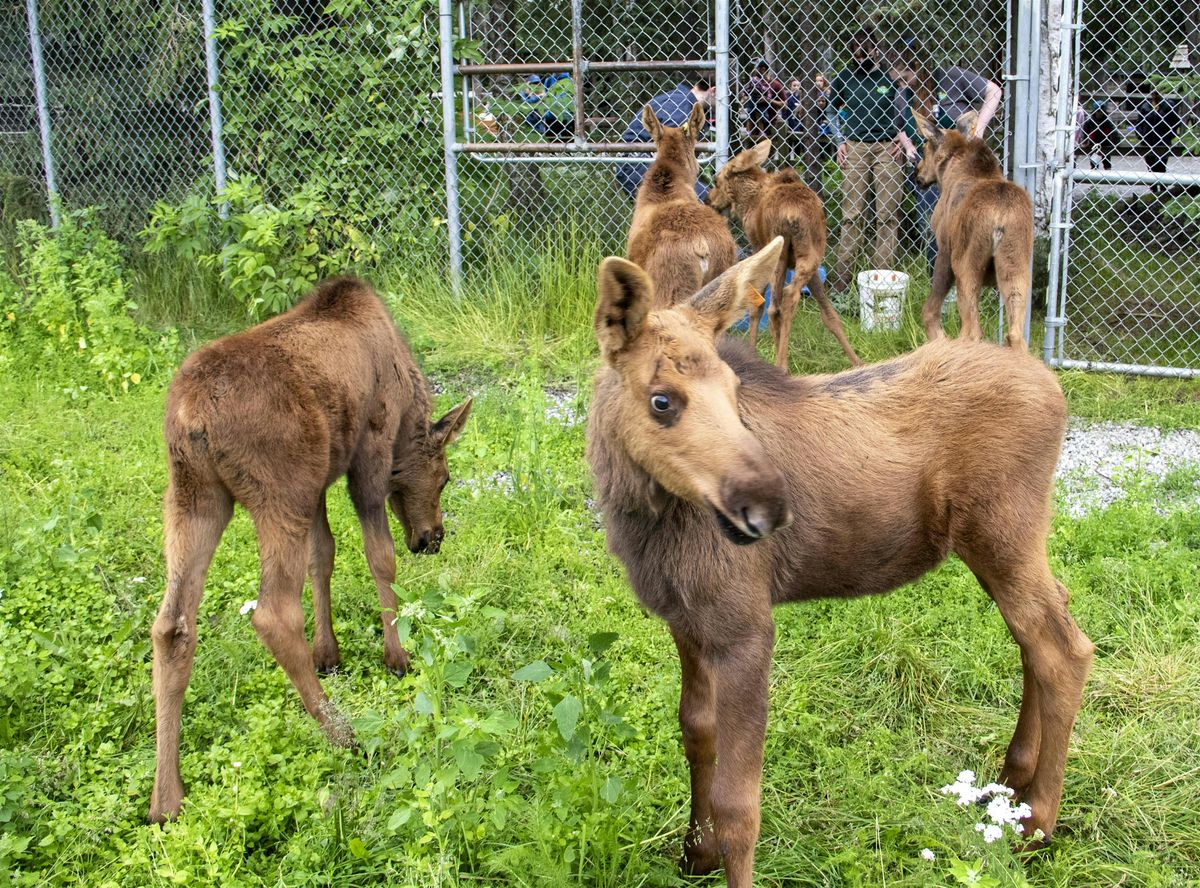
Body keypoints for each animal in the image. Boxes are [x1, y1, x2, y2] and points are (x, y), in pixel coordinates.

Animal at [146, 277, 468, 825]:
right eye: (444, 476)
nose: (433, 538)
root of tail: (192, 416)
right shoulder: (367, 455)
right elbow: (379, 557)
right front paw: (397, 656)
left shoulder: (320, 481)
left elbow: (325, 556)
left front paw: (329, 653)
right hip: (279, 492)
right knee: (273, 613)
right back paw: (343, 733)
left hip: (195, 495)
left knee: (171, 625)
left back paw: (166, 798)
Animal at [585, 237, 1094, 888]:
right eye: (661, 400)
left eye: (734, 392)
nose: (770, 506)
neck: (642, 522)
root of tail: (1053, 387)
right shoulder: (686, 619)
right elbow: (696, 733)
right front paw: (693, 854)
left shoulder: (745, 626)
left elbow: (739, 803)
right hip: (999, 545)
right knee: (1041, 631)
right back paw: (1012, 780)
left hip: (1005, 531)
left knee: (1064, 648)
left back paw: (1039, 824)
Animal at [700, 138, 864, 367]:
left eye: (716, 181)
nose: (708, 200)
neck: (748, 201)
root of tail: (792, 215)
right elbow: (828, 313)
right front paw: (856, 362)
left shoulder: (758, 246)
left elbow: (757, 306)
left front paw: (752, 350)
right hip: (809, 257)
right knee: (789, 298)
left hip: (779, 253)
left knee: (775, 306)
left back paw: (781, 364)